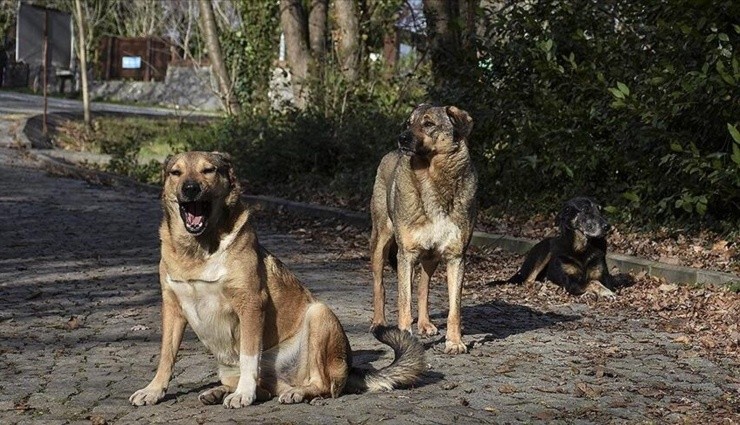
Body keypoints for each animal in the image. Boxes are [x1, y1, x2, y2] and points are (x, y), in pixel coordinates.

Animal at [130, 152, 424, 408]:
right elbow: (166, 356)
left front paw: (243, 395)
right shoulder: (172, 308)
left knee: (322, 385)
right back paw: (219, 391)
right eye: (175, 172)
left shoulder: (250, 304)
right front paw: (153, 390)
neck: (198, 250)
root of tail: (350, 367)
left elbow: (249, 357)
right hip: (227, 366)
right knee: (266, 388)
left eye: (208, 170)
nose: (190, 188)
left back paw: (295, 392)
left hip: (319, 314)